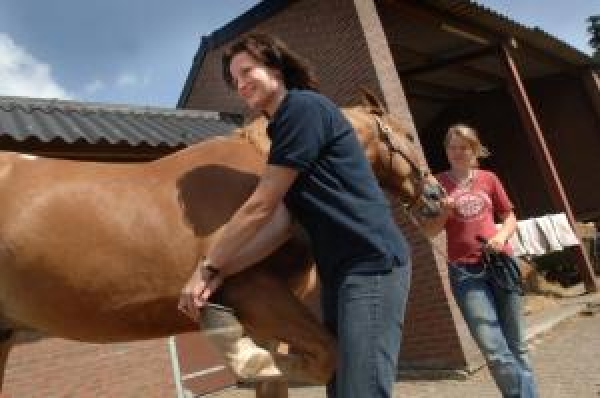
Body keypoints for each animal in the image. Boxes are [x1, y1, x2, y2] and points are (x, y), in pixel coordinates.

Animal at [0, 91, 440, 394]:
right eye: (408, 135)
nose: (436, 196)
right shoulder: (255, 291)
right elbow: (322, 356)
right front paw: (247, 360)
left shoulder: (265, 314)